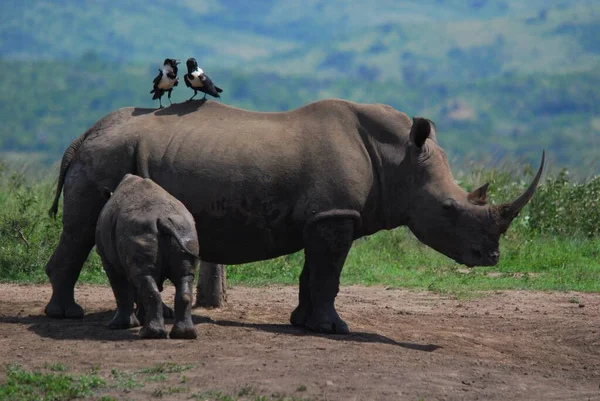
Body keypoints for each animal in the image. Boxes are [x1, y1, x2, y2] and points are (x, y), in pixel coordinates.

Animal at [96, 173, 199, 340]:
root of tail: (163, 219)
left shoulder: (108, 260)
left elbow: (120, 288)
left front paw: (119, 326)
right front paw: (139, 319)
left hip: (140, 231)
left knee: (142, 278)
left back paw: (149, 334)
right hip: (184, 229)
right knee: (184, 276)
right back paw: (184, 334)